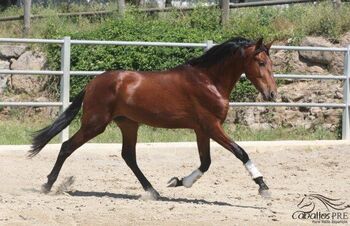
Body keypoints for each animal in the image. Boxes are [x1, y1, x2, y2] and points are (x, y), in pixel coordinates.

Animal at [28, 36, 278, 200]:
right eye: (261, 62)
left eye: (271, 63)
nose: (272, 94)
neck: (209, 81)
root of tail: (93, 83)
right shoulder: (211, 126)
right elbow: (240, 152)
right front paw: (263, 186)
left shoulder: (201, 130)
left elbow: (205, 163)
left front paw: (178, 182)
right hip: (95, 124)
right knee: (67, 147)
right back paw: (47, 185)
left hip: (128, 124)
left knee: (128, 156)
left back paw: (152, 191)